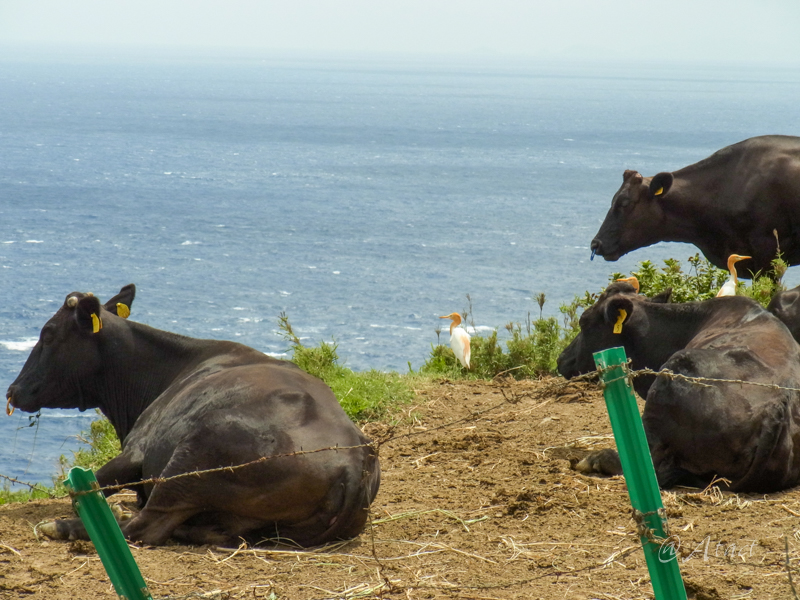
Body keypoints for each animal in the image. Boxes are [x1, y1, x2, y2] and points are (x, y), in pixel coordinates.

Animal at [5, 286, 382, 548]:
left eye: (48, 333)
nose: (12, 390)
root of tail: (352, 460)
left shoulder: (136, 450)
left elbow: (82, 489)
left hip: (192, 460)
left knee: (146, 526)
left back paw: (68, 526)